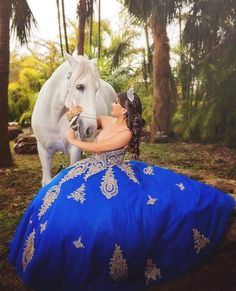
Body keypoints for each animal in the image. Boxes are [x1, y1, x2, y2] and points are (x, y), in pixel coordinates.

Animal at [31, 53, 116, 186]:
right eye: (80, 87)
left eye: (96, 89)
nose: (90, 128)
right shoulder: (43, 151)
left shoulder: (75, 150)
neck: (54, 118)